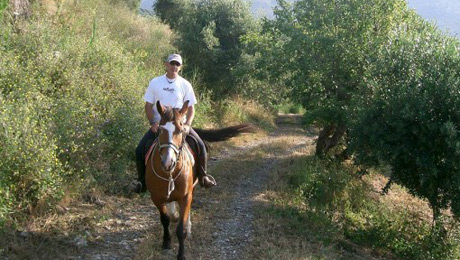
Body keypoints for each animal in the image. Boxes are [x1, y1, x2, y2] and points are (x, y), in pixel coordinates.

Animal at [146, 100, 253, 260]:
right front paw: (166, 242)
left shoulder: (185, 196)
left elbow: (181, 229)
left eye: (181, 130)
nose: (168, 162)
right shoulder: (156, 197)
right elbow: (164, 219)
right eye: (159, 130)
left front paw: (181, 254)